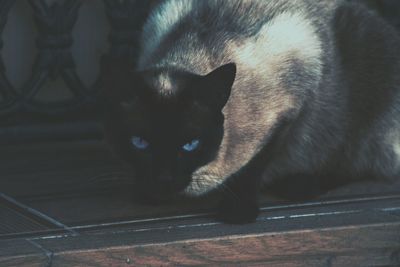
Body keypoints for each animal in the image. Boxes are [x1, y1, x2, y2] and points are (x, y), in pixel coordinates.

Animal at [101, 0, 400, 224]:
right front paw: (147, 192)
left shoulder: (290, 109)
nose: (164, 180)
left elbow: (254, 166)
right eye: (139, 143)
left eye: (190, 145)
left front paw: (238, 212)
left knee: (365, 160)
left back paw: (300, 185)